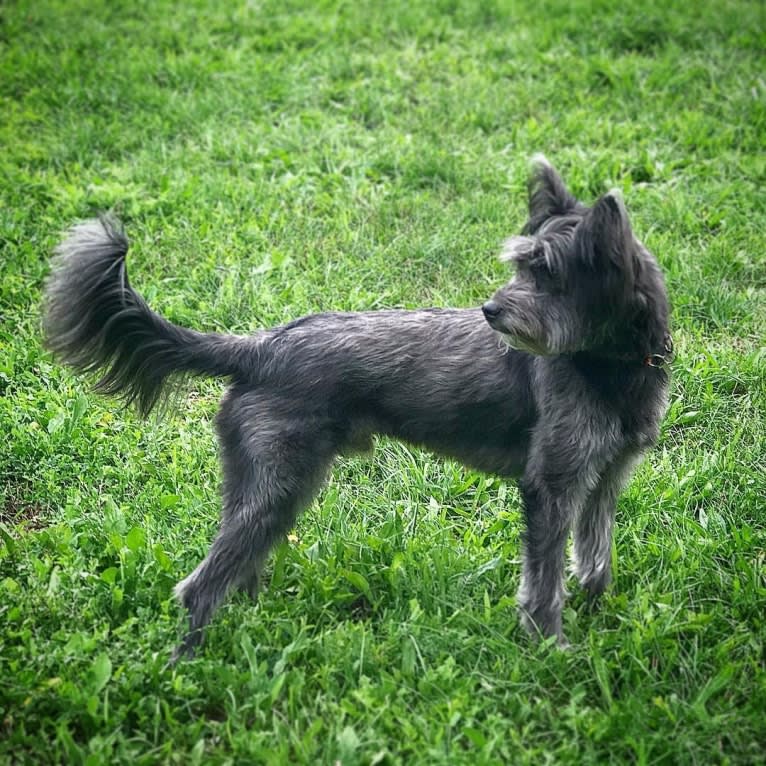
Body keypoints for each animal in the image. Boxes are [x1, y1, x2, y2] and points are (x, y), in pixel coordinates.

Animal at [45, 158, 676, 660]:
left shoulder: (604, 478)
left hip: (264, 484)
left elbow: (594, 556)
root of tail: (260, 347)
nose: (492, 311)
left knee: (236, 564)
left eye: (547, 274)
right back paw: (186, 664)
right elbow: (543, 582)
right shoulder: (551, 485)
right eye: (523, 265)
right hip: (280, 483)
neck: (613, 363)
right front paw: (551, 647)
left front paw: (597, 609)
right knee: (199, 587)